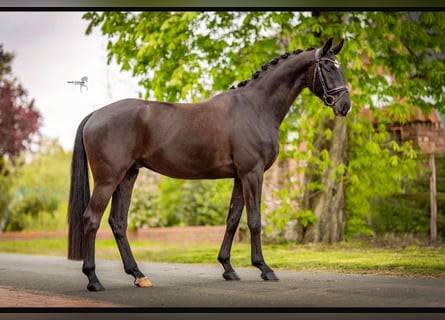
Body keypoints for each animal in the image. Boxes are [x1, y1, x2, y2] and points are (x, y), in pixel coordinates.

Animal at [67, 36, 350, 292]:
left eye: (340, 67)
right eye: (327, 67)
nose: (345, 106)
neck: (255, 107)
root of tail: (95, 115)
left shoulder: (239, 177)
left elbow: (233, 219)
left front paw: (228, 268)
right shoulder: (253, 174)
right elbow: (255, 220)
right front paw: (264, 268)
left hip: (127, 176)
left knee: (118, 222)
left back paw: (138, 275)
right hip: (108, 179)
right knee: (91, 219)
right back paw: (94, 279)